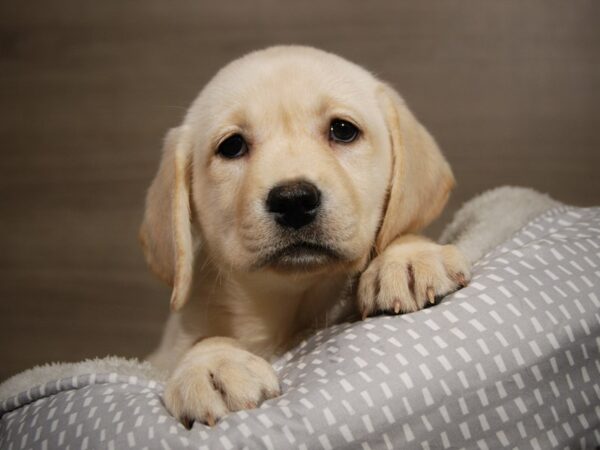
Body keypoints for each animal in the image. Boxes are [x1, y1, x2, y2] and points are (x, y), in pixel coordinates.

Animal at [139, 45, 468, 428]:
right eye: (232, 146)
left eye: (343, 130)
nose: (293, 200)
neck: (287, 306)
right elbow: (198, 340)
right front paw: (212, 364)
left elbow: (396, 234)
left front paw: (408, 257)